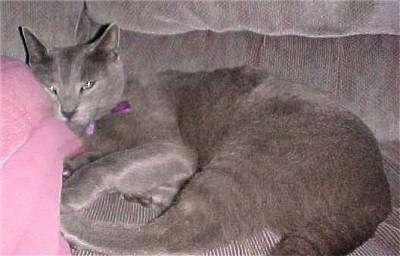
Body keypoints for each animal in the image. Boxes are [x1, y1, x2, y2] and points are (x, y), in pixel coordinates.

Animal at [19, 5, 390, 256]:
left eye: (88, 84)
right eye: (51, 87)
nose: (68, 110)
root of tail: (378, 195)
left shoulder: (173, 146)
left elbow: (109, 163)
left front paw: (71, 188)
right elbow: (96, 157)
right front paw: (73, 165)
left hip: (254, 157)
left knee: (168, 237)